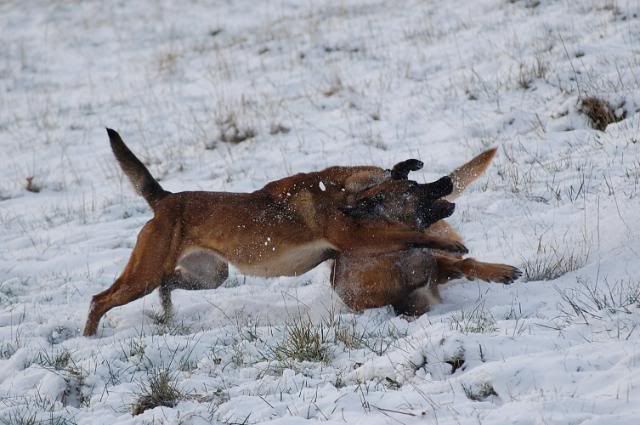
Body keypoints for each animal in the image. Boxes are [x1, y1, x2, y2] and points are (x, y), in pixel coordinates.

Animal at [86, 129, 464, 334]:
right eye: (416, 189)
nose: (447, 182)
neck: (346, 199)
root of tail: (164, 200)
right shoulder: (356, 236)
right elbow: (408, 234)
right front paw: (447, 244)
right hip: (143, 275)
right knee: (99, 299)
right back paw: (89, 337)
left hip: (210, 274)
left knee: (167, 284)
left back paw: (165, 312)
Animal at [332, 147, 524, 314]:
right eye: (412, 188)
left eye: (413, 182)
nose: (446, 179)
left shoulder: (436, 266)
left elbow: (466, 263)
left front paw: (500, 271)